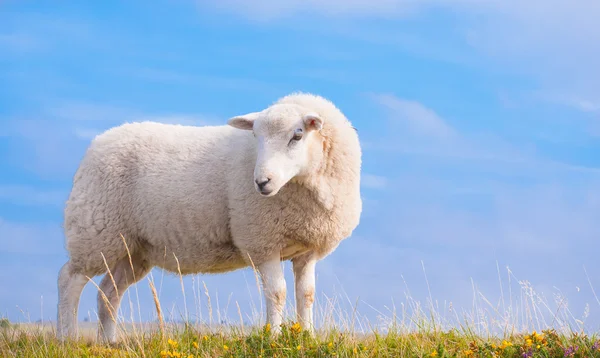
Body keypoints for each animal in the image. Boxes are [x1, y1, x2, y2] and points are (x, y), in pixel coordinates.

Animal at [57, 92, 360, 344]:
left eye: (297, 135)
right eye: (255, 137)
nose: (262, 182)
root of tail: (97, 143)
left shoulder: (307, 250)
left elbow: (306, 294)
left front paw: (306, 337)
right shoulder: (262, 241)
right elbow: (277, 293)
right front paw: (274, 338)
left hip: (134, 248)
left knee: (108, 291)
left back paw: (110, 341)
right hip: (96, 230)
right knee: (69, 278)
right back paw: (67, 337)